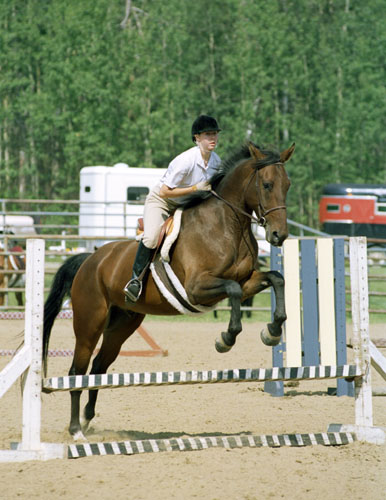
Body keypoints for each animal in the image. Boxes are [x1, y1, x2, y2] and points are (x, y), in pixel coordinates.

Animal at [43, 140, 294, 438]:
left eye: (287, 184)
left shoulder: (247, 282)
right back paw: (75, 429)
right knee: (77, 370)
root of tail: (89, 261)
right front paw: (226, 339)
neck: (227, 226)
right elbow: (232, 290)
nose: (279, 236)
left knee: (99, 366)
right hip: (89, 323)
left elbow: (276, 278)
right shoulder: (197, 288)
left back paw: (87, 418)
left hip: (122, 324)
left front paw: (273, 331)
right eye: (266, 185)